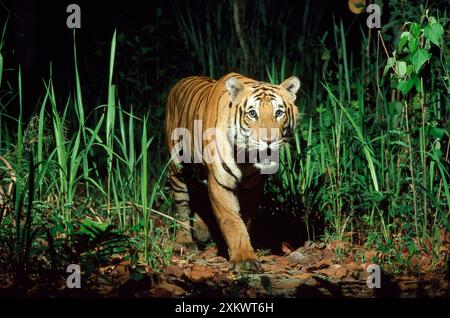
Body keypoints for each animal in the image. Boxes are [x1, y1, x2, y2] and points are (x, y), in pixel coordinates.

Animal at [164, 72, 298, 270]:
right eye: (252, 113)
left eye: (279, 113)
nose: (269, 141)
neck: (245, 160)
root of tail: (181, 81)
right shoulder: (220, 183)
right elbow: (232, 221)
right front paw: (244, 259)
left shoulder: (252, 189)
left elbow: (245, 219)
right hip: (178, 166)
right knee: (181, 204)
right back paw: (185, 241)